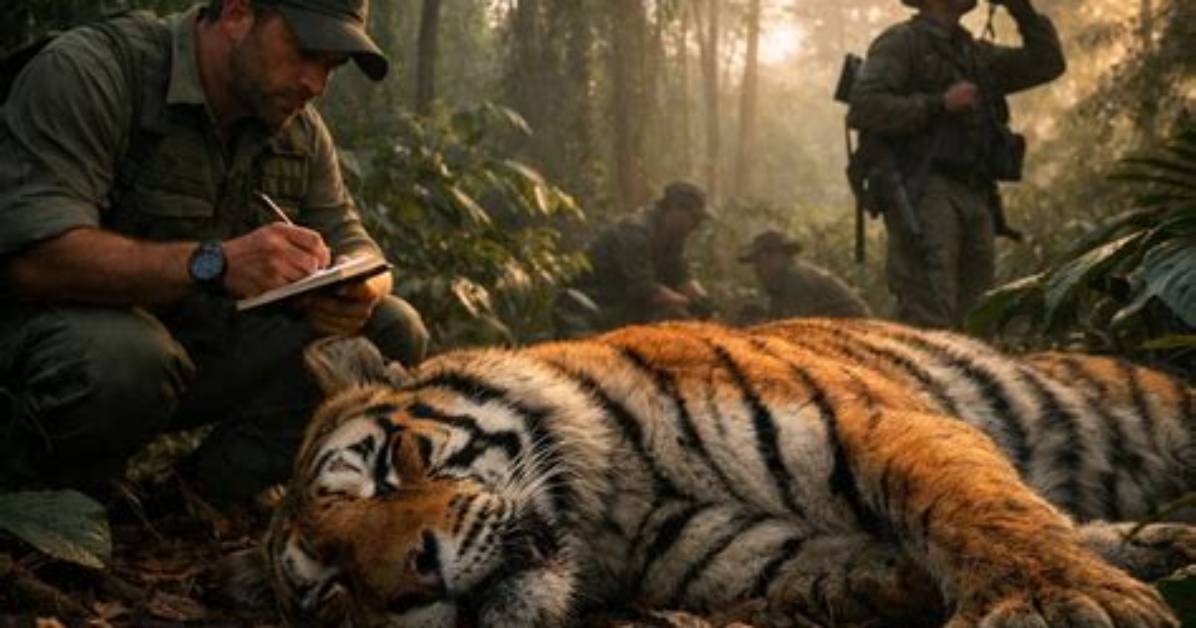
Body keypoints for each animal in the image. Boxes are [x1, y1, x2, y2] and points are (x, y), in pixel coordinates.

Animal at [230, 318, 1196, 627]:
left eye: (388, 467)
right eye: (331, 590)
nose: (418, 580)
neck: (612, 508)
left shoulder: (874, 422)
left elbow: (975, 505)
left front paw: (1058, 600)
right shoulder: (752, 553)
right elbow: (858, 569)